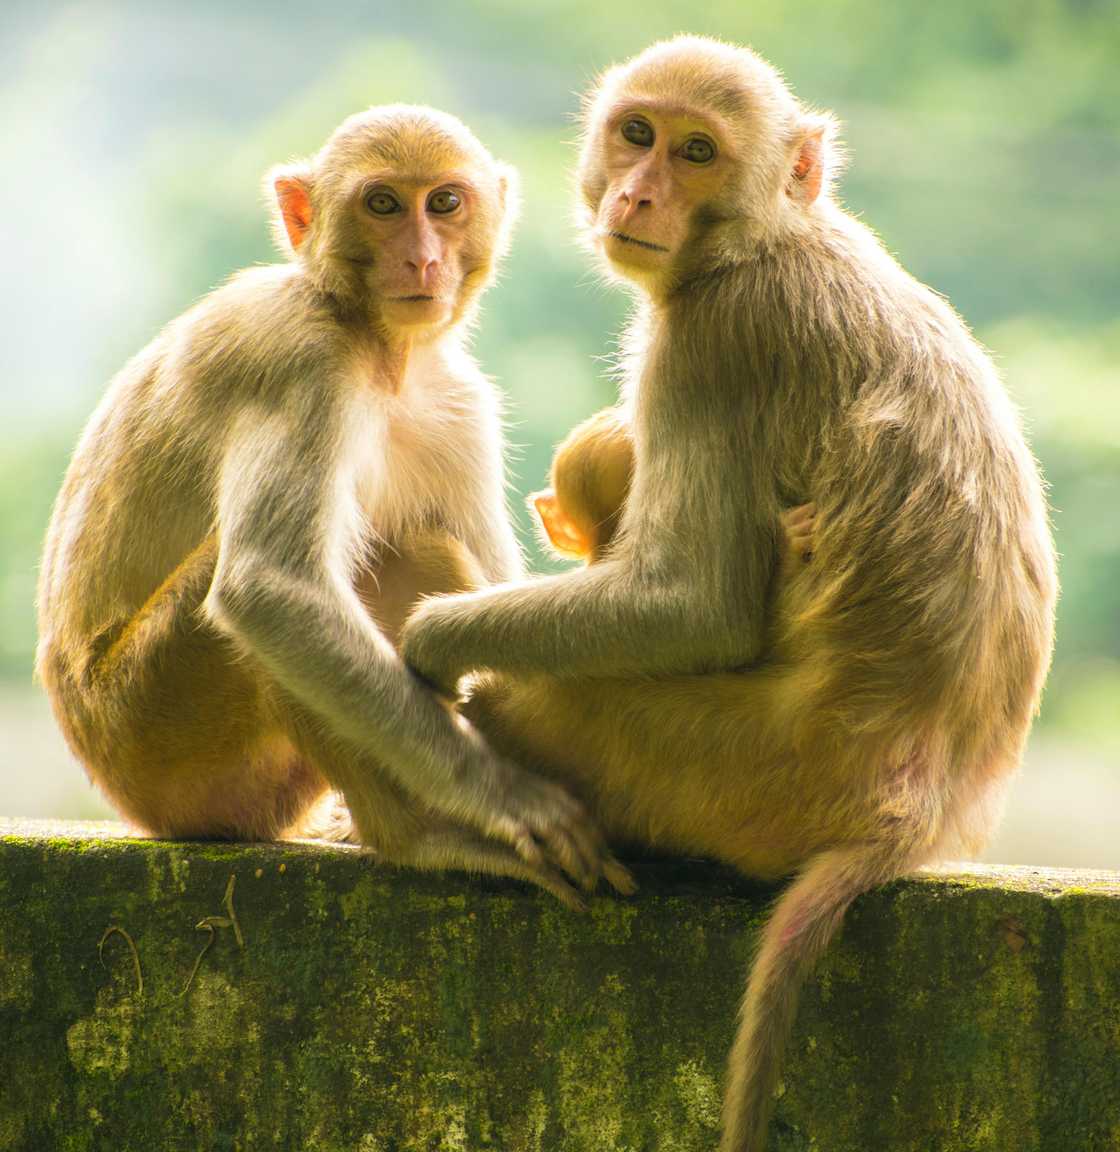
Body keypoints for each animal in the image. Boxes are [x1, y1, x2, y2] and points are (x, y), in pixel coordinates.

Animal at [35, 104, 630, 909]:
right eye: (382, 204)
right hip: (155, 737)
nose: (423, 261)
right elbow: (269, 589)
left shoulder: (460, 403)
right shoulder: (295, 357)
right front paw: (504, 795)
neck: (379, 348)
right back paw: (416, 837)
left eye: (445, 202)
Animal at [400, 38, 1057, 1151]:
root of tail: (915, 812)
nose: (640, 190)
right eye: (638, 133)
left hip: (726, 772)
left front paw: (432, 639)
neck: (767, 237)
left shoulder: (715, 340)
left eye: (697, 152)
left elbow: (694, 605)